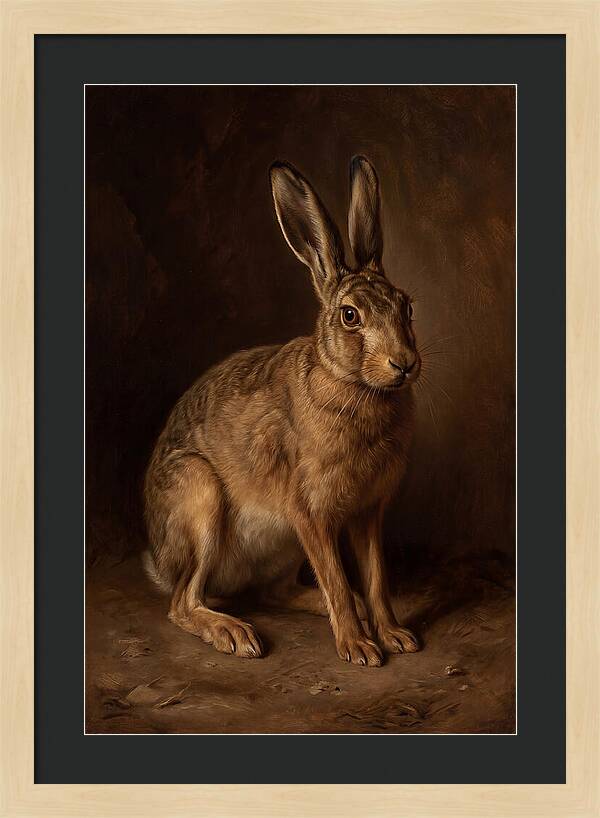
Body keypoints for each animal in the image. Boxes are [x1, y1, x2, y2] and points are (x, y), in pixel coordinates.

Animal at [143, 155, 421, 666]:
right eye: (350, 316)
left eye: (407, 307)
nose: (404, 363)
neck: (354, 384)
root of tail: (159, 559)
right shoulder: (309, 512)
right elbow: (336, 577)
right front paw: (359, 649)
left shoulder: (367, 512)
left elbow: (375, 579)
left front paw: (394, 635)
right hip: (199, 497)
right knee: (183, 602)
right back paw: (234, 634)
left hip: (282, 547)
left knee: (276, 593)